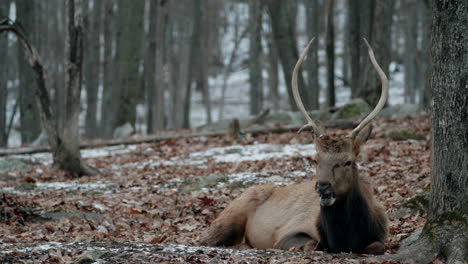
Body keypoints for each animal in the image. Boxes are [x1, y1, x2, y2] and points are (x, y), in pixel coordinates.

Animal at [200, 38, 388, 255]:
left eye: (348, 161)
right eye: (315, 159)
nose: (323, 186)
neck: (344, 240)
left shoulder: (381, 236)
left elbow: (376, 246)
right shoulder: (287, 233)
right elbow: (312, 244)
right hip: (231, 214)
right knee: (205, 239)